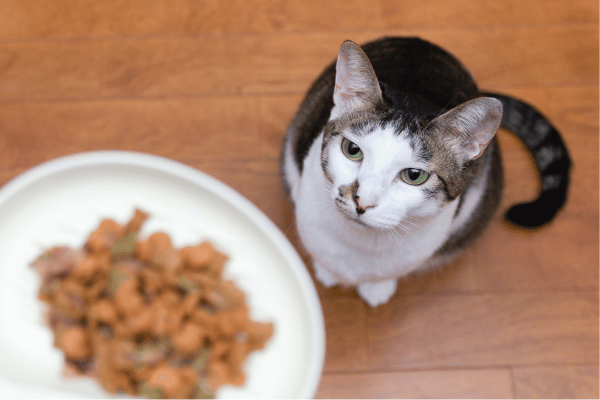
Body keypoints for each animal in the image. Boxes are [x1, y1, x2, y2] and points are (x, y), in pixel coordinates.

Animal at [282, 37, 572, 306]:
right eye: (352, 149)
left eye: (413, 175)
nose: (362, 202)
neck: (362, 244)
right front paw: (327, 272)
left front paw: (377, 288)